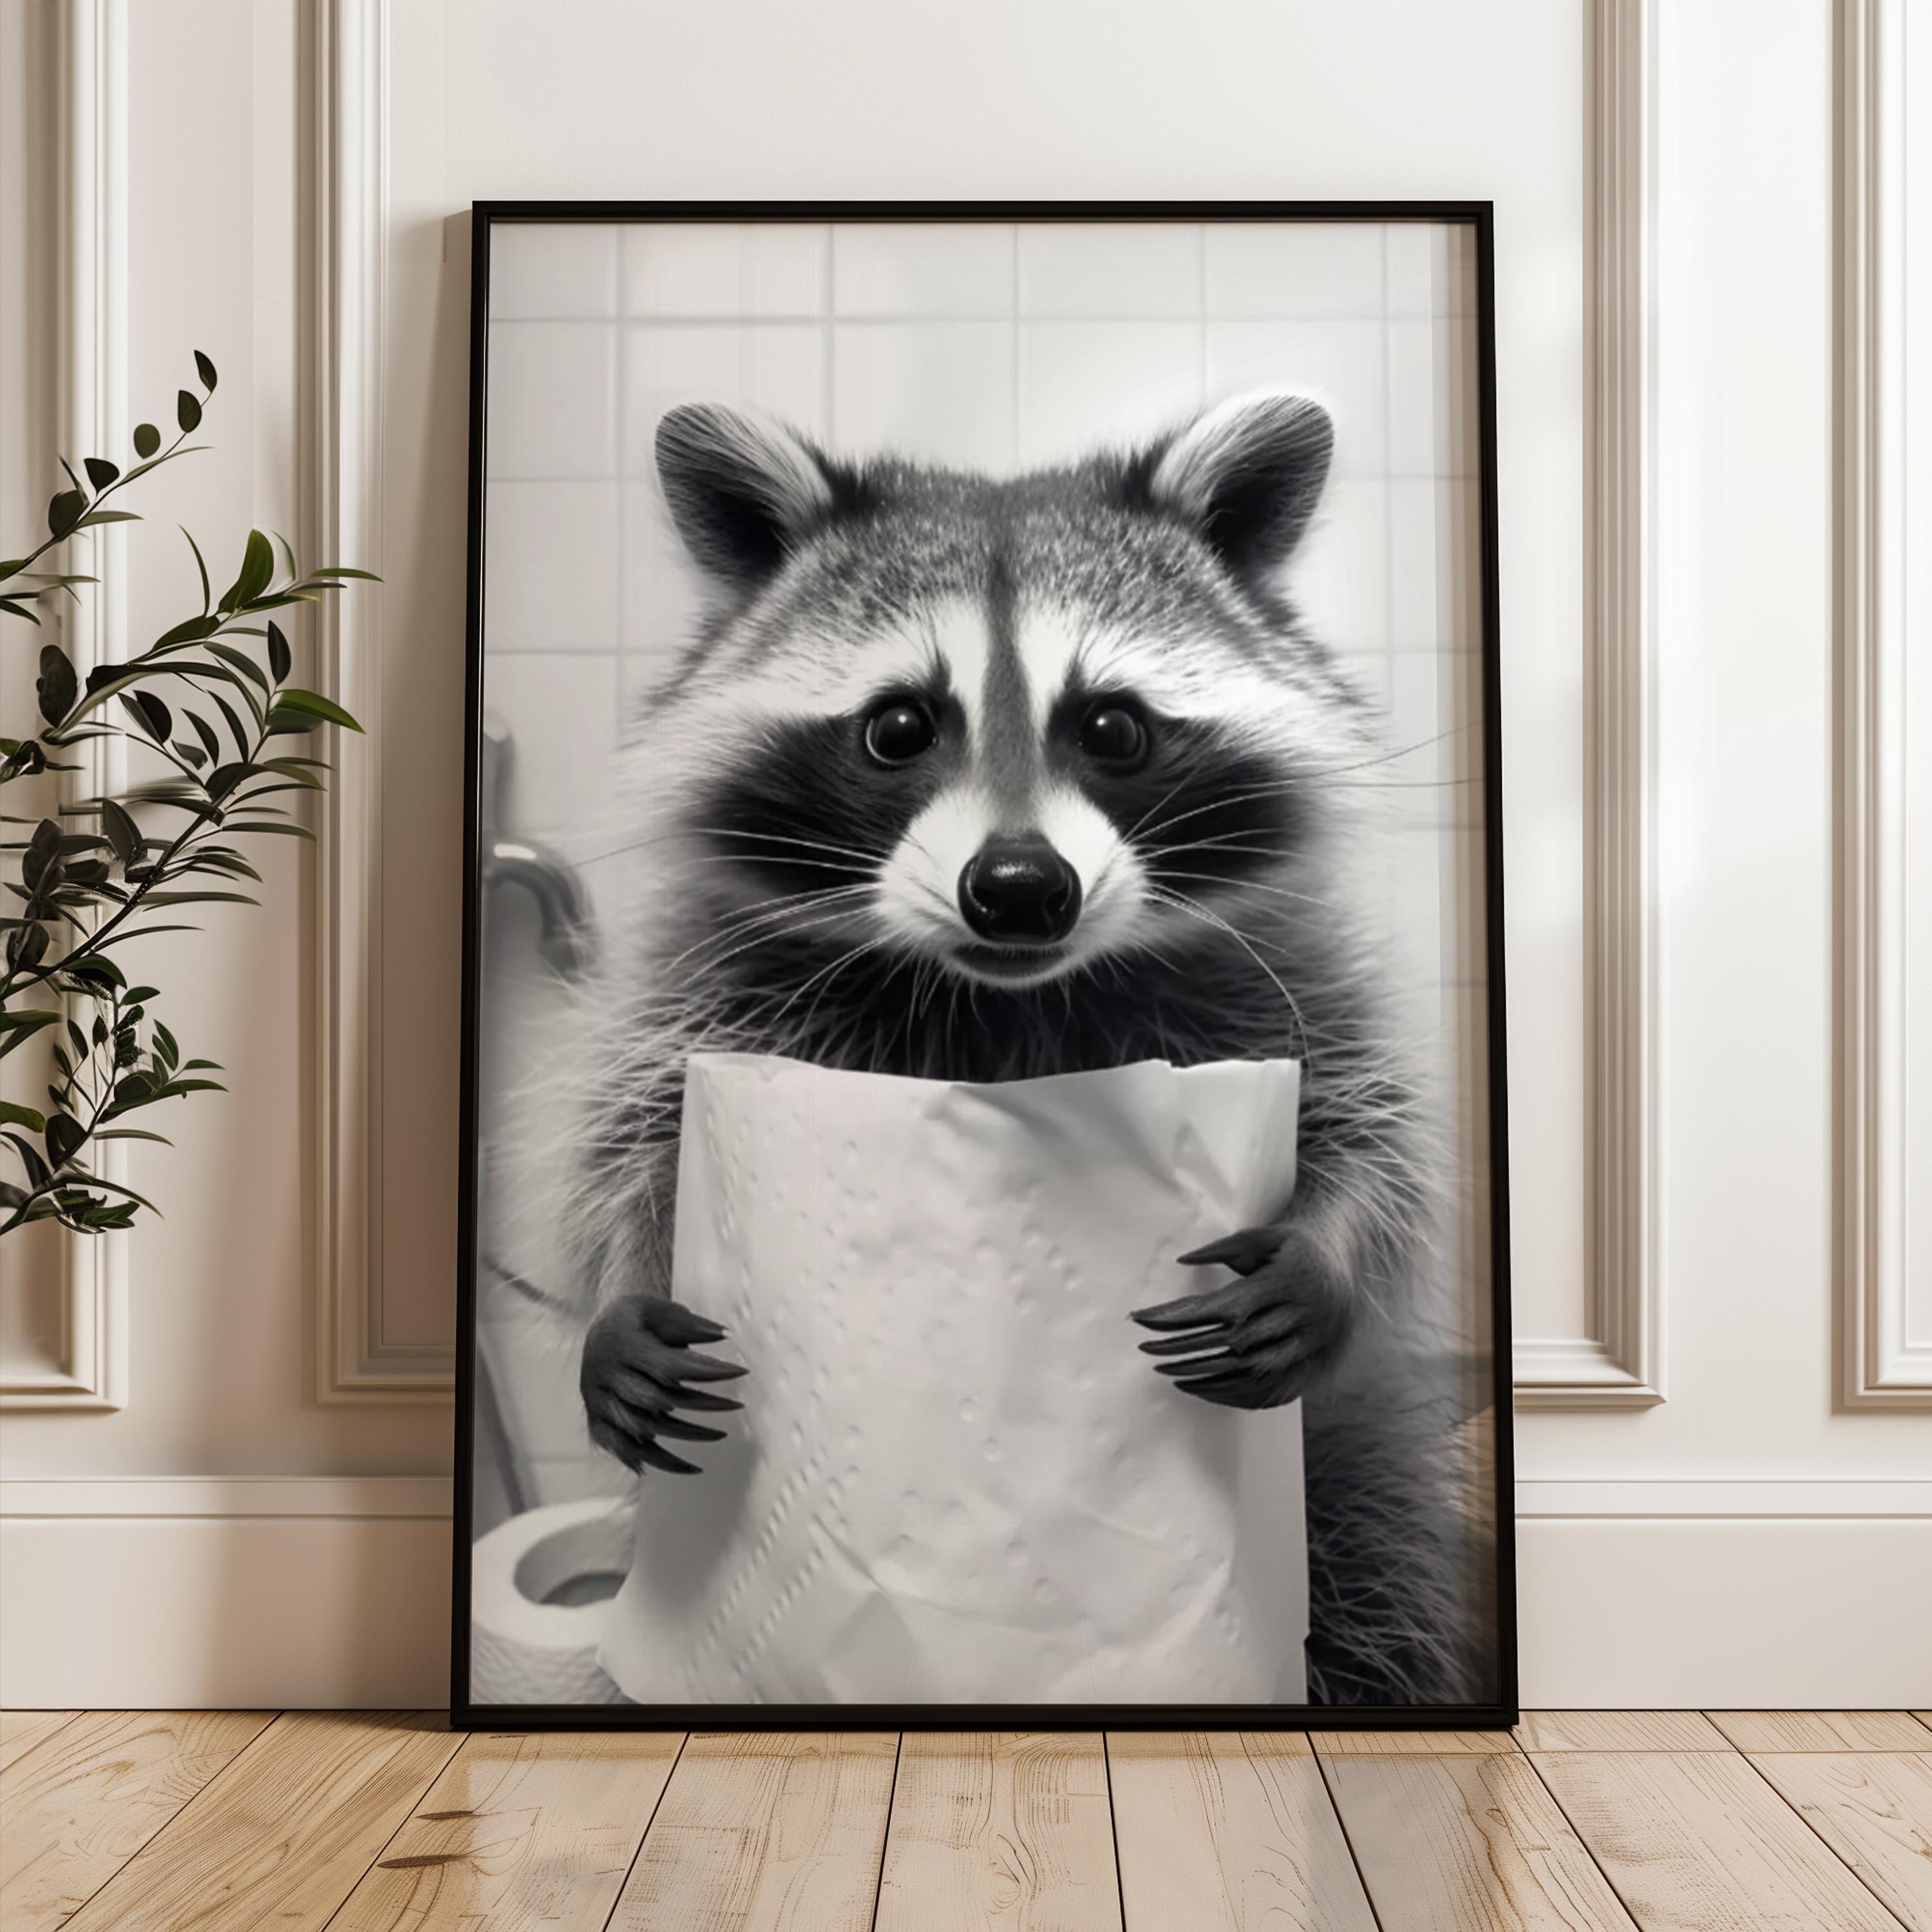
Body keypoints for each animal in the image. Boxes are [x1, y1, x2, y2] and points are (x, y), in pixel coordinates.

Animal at [566, 391, 1491, 1706]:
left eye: (1113, 727)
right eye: (900, 727)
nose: (1017, 889)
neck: (1006, 999)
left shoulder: (1281, 975)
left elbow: (1371, 1133)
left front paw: (1327, 1257)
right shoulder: (710, 990)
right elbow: (632, 1149)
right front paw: (622, 1297)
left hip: (1356, 1499)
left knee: (1380, 1580)